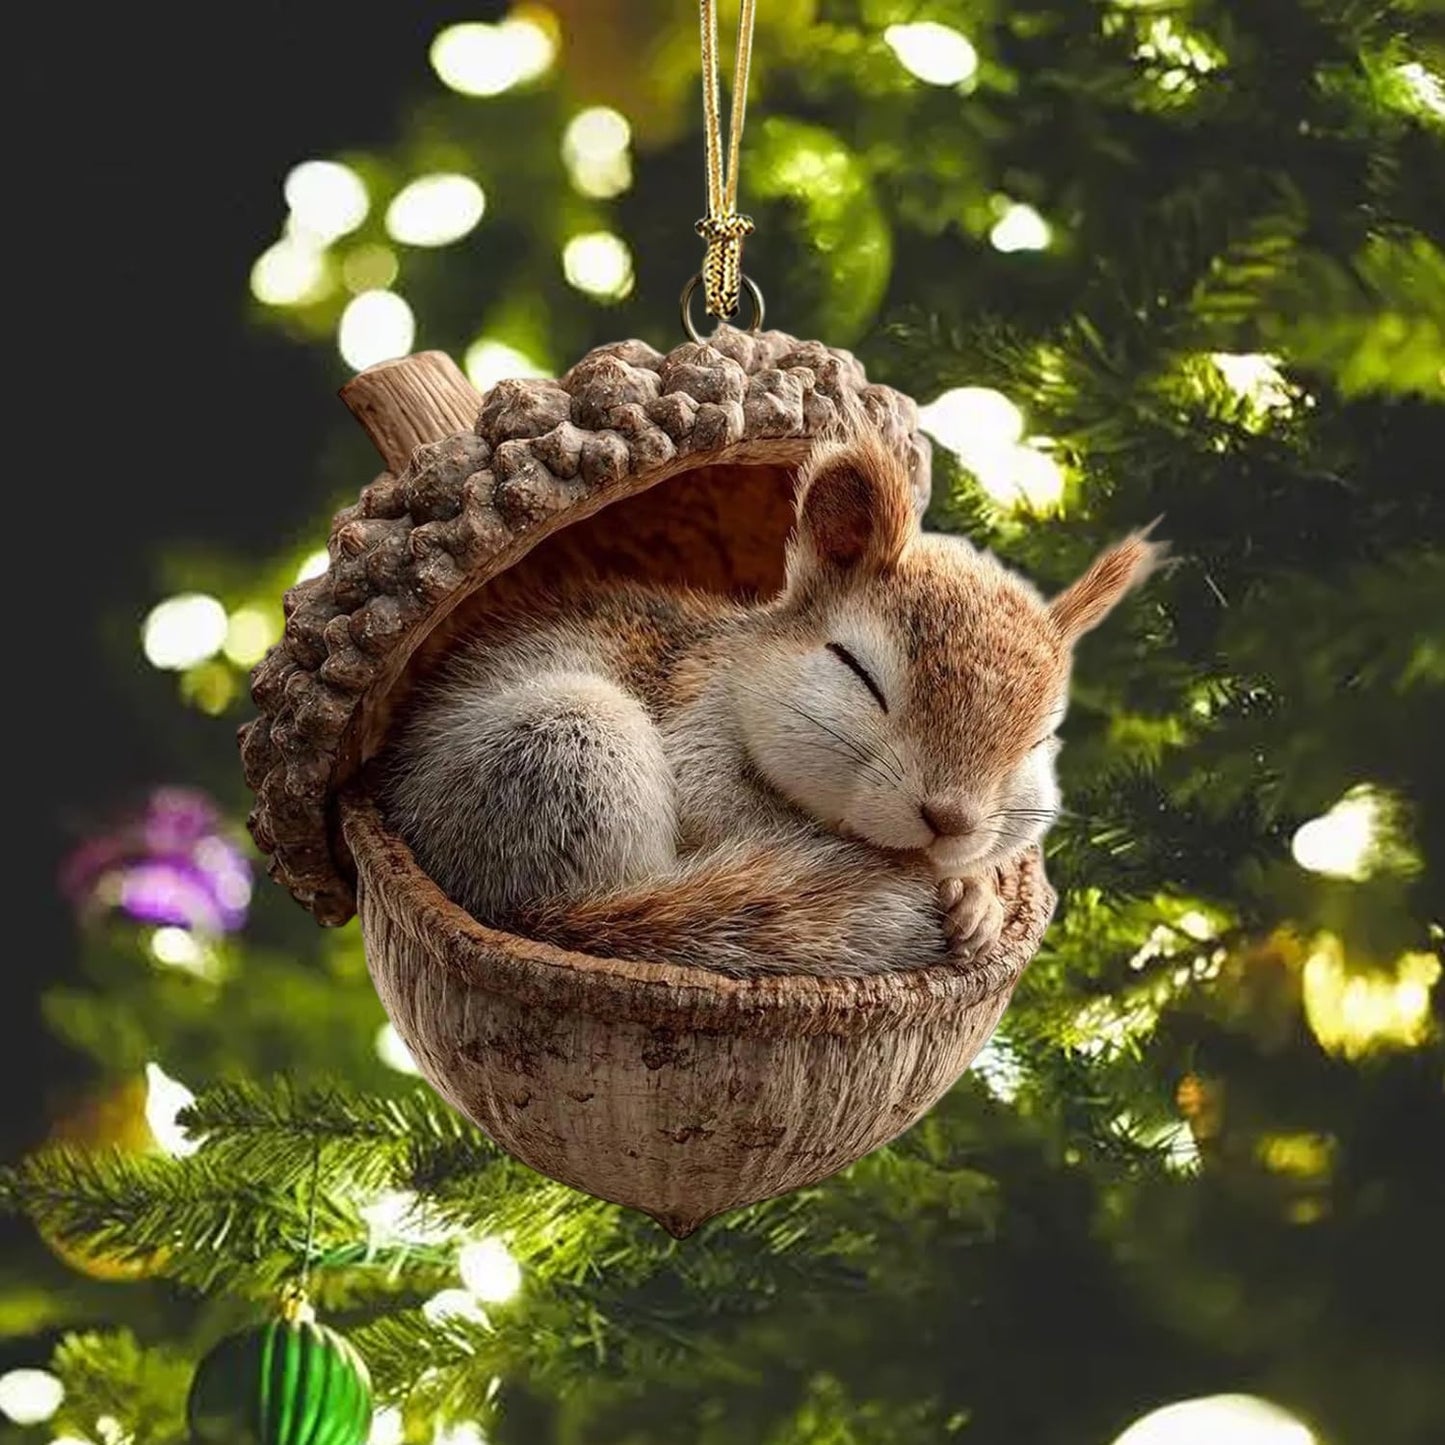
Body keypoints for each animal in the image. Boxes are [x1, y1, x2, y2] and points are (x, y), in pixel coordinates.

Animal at [380, 425, 1164, 977]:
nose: (951, 819)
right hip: (564, 745)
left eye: (1041, 740)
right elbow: (725, 812)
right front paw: (951, 884)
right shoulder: (697, 723)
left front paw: (975, 894)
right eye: (856, 670)